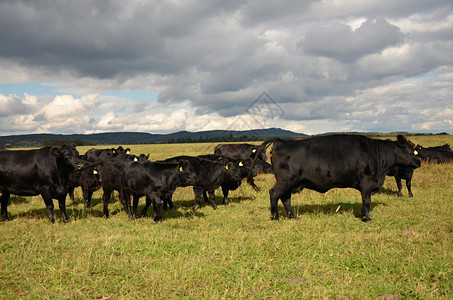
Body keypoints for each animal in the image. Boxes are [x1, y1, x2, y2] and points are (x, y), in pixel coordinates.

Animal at [247, 135, 420, 221]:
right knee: (274, 194)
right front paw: (367, 218)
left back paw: (293, 217)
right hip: (285, 181)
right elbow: (367, 201)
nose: (418, 162)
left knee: (285, 198)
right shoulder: (366, 182)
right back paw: (275, 217)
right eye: (408, 150)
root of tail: (281, 141)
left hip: (290, 183)